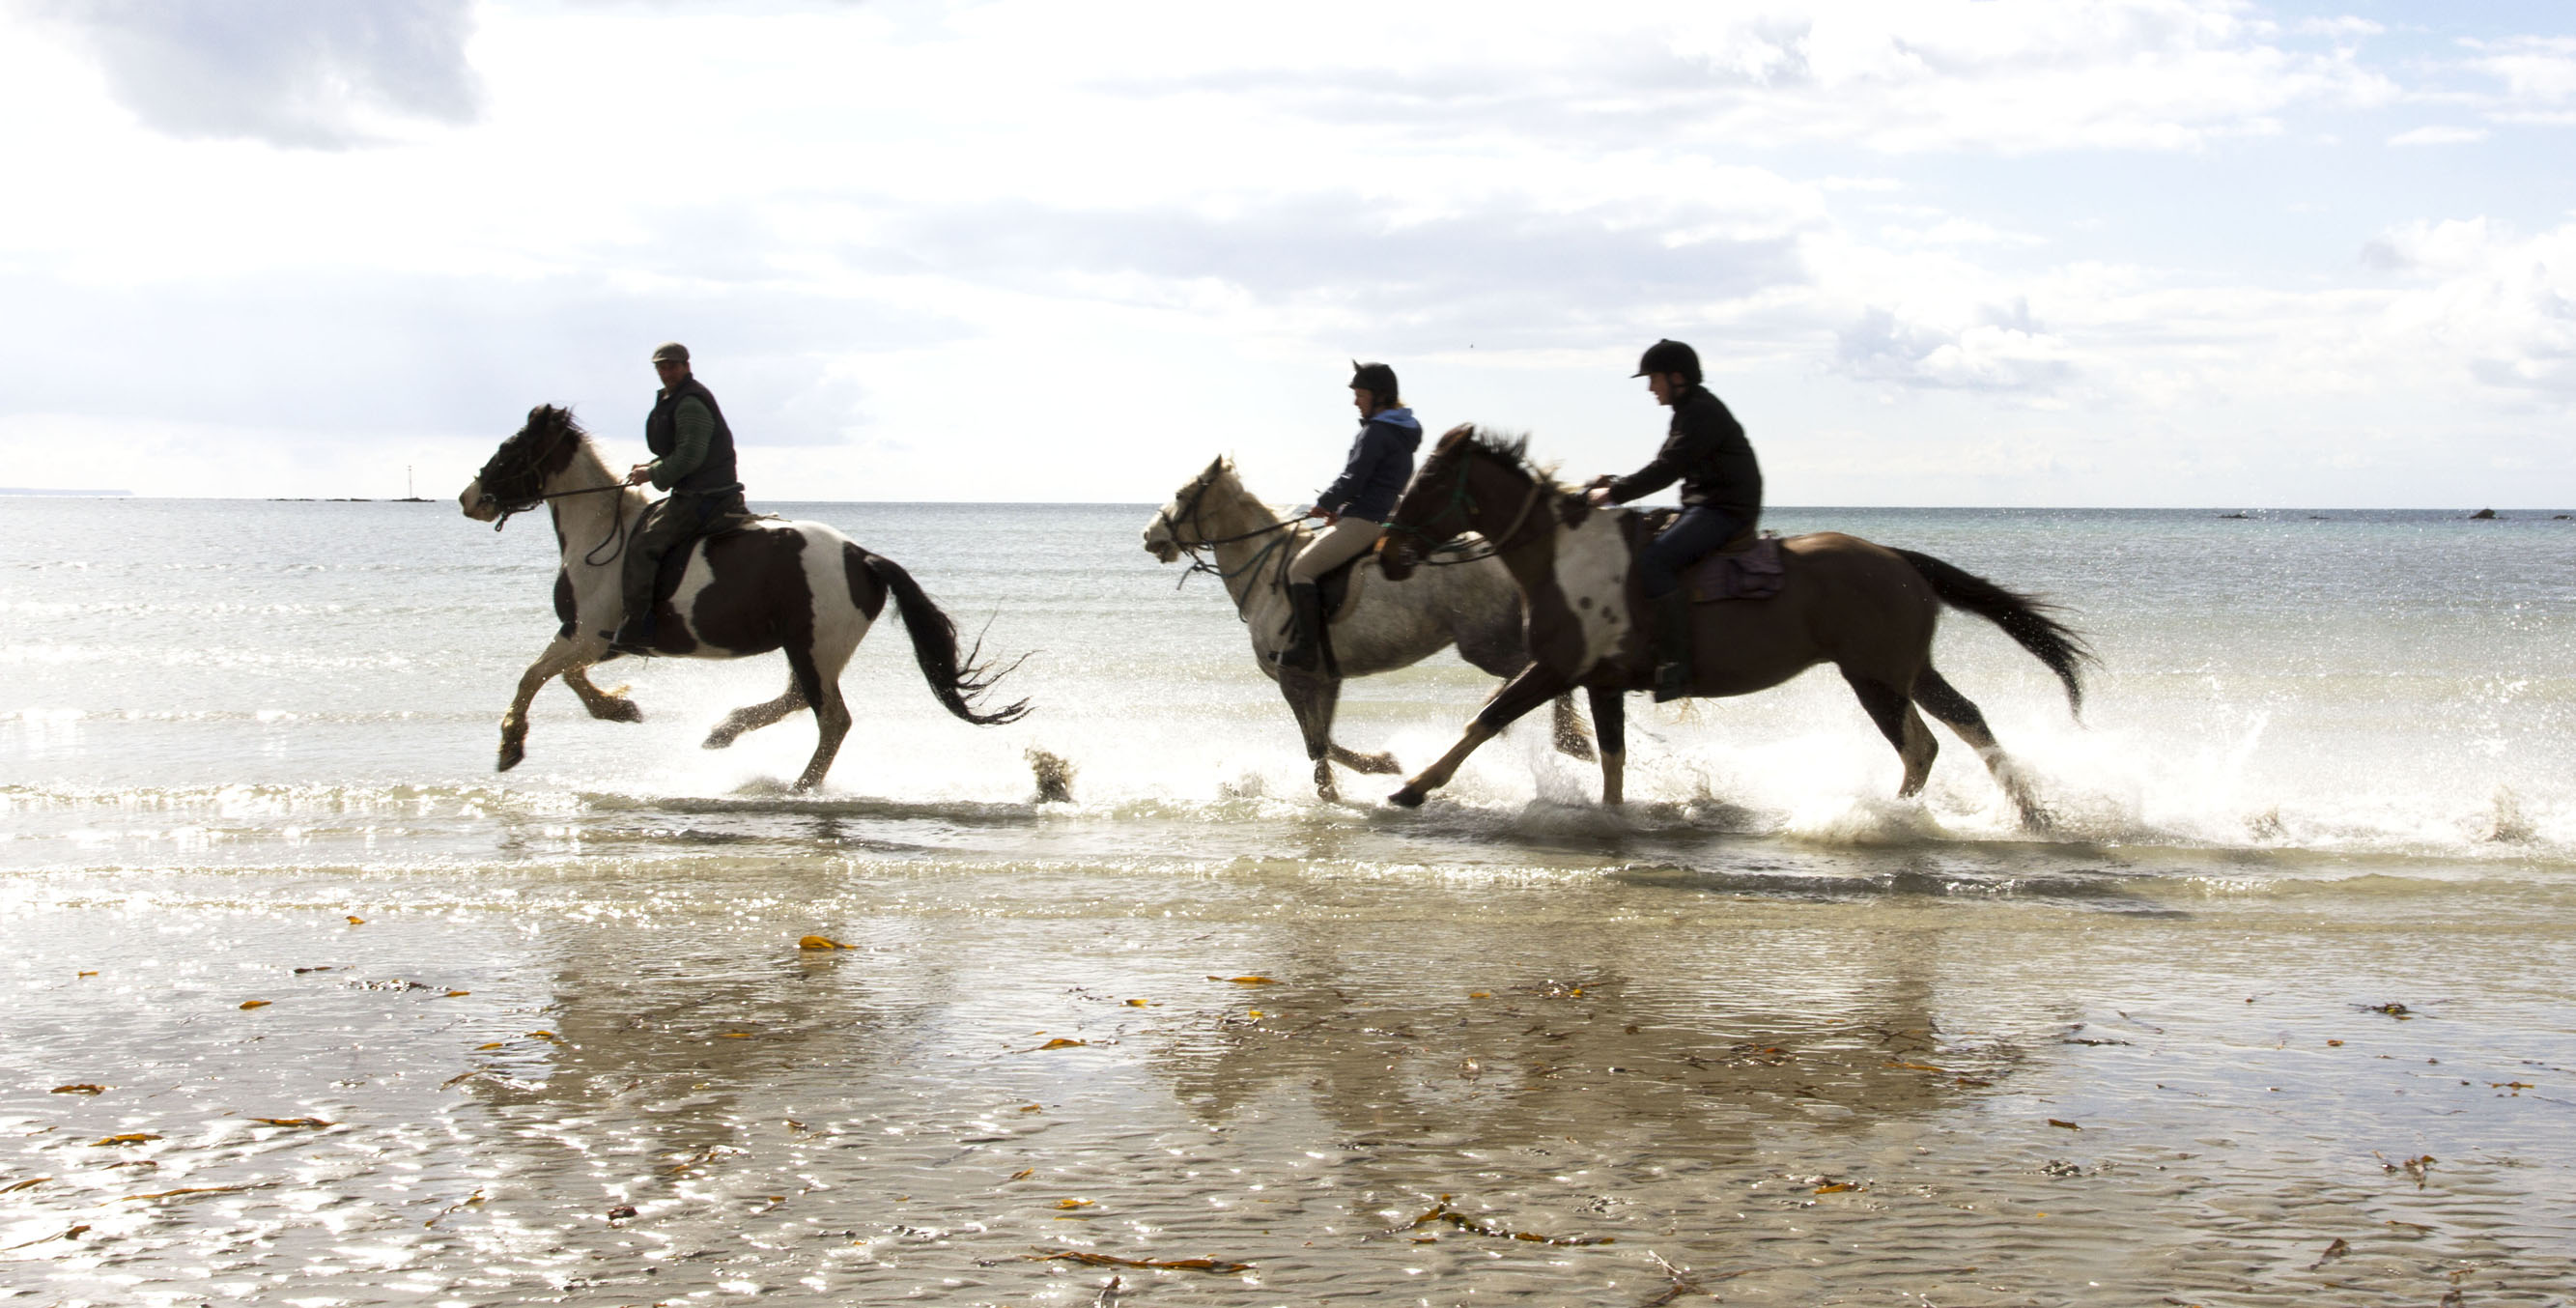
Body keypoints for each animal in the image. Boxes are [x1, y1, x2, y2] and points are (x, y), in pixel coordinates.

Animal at [459, 405, 1028, 790]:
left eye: (509, 452)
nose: (469, 499)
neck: (602, 531)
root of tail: (862, 557)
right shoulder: (596, 641)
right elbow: (567, 676)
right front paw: (619, 707)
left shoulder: (587, 635)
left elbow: (535, 675)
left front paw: (511, 744)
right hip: (810, 648)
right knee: (799, 699)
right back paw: (724, 731)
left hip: (814, 648)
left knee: (832, 720)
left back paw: (799, 787)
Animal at [1143, 456, 1594, 801]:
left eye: (1180, 496)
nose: (1149, 535)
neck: (1266, 575)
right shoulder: (1325, 678)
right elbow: (1323, 738)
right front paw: (1372, 769)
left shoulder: (1293, 678)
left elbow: (1317, 743)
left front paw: (1351, 780)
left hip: (1485, 644)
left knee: (1538, 671)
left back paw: (1568, 739)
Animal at [1373, 426, 2091, 823]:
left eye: (1427, 483)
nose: (1387, 555)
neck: (1565, 558)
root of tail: (1898, 559)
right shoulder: (1600, 682)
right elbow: (1611, 757)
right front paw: (1613, 817)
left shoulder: (1555, 669)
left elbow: (1486, 719)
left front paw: (1412, 787)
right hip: (1907, 671)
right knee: (1964, 724)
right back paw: (2030, 814)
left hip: (1875, 677)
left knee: (1921, 745)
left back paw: (1895, 817)